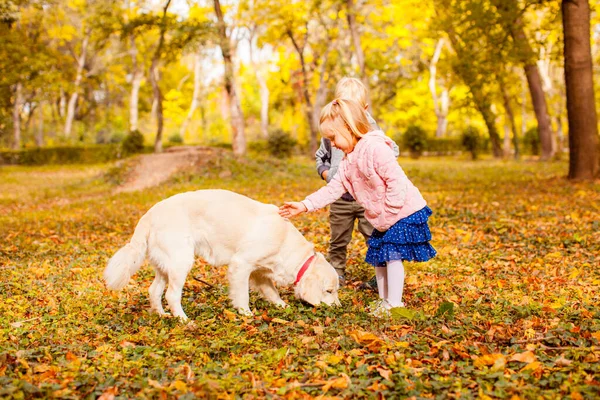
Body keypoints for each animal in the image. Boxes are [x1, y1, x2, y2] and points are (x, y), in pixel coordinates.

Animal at [104, 189, 342, 320]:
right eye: (329, 291)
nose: (340, 308)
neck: (284, 241)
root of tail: (150, 214)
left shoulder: (260, 273)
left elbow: (272, 292)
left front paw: (282, 306)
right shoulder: (241, 265)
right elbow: (242, 295)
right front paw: (246, 313)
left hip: (165, 266)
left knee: (153, 291)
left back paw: (163, 315)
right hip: (181, 262)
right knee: (171, 295)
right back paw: (183, 320)